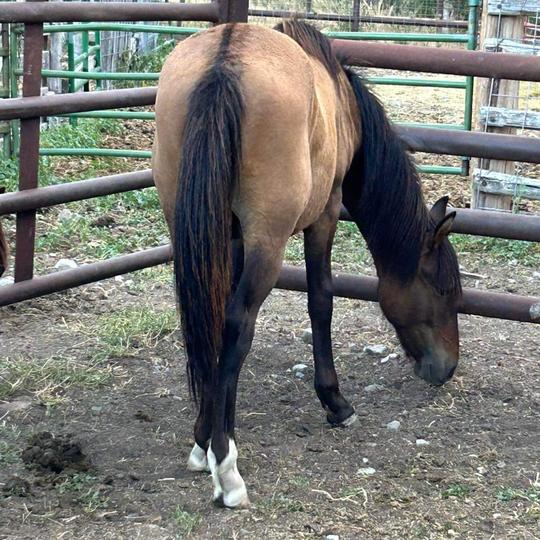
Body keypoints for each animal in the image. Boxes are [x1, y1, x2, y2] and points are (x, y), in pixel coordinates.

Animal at [151, 21, 460, 508]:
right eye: (445, 291)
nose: (447, 368)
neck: (341, 103)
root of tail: (225, 57)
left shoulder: (230, 235)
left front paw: (203, 437)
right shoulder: (326, 215)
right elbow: (321, 302)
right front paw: (335, 403)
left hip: (189, 222)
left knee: (207, 317)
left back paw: (206, 443)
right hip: (269, 240)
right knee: (239, 325)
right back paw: (227, 467)